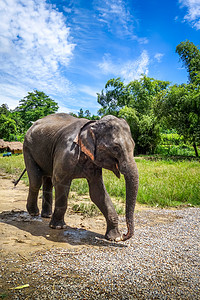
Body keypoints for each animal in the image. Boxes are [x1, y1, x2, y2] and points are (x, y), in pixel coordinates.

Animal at [22, 112, 138, 241]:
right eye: (115, 148)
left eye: (134, 146)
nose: (124, 235)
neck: (93, 124)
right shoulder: (66, 151)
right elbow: (60, 182)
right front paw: (58, 227)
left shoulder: (93, 161)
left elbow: (97, 192)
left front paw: (114, 238)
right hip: (27, 148)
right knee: (36, 180)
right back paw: (34, 213)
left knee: (47, 180)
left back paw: (46, 215)